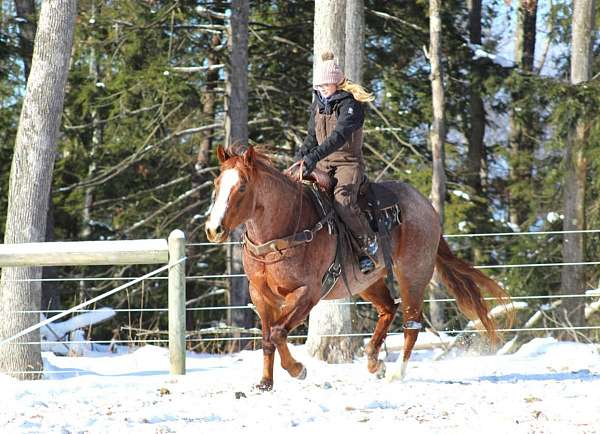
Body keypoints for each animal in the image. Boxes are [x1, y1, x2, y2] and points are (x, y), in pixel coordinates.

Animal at [206, 145, 510, 390]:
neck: (286, 227)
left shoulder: (307, 293)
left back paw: (396, 373)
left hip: (413, 275)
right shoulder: (260, 296)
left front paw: (298, 369)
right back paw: (375, 362)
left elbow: (279, 332)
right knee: (388, 309)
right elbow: (268, 338)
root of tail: (426, 207)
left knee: (411, 324)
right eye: (217, 183)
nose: (214, 229)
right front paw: (265, 383)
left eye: (242, 186)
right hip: (368, 282)